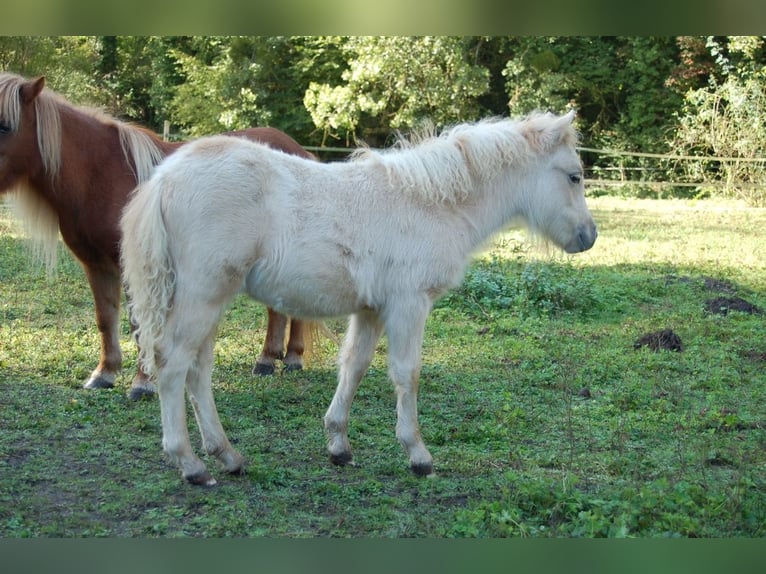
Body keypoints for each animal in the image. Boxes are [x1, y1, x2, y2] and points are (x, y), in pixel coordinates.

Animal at [0, 72, 312, 400]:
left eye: (5, 125)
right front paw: (105, 374)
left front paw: (143, 383)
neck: (102, 175)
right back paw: (267, 360)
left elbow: (140, 324)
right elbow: (105, 318)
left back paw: (292, 357)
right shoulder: (96, 265)